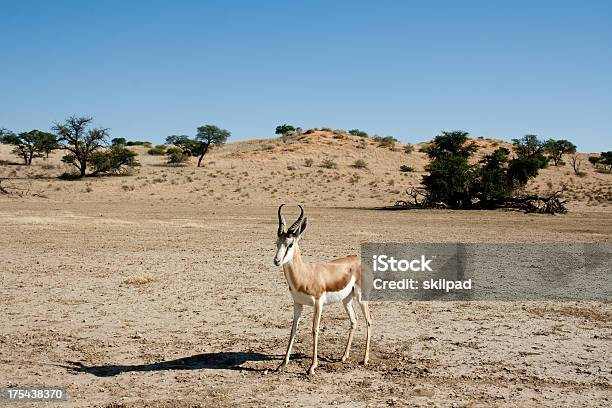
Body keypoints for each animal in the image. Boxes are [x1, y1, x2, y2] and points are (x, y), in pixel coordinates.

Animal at [274, 204, 372, 376]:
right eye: (277, 242)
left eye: (290, 244)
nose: (277, 261)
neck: (305, 274)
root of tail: (358, 260)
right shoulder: (297, 303)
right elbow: (293, 329)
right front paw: (282, 364)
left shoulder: (318, 303)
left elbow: (315, 330)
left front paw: (312, 367)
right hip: (346, 300)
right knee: (354, 320)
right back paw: (344, 357)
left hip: (361, 297)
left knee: (369, 321)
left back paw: (365, 359)